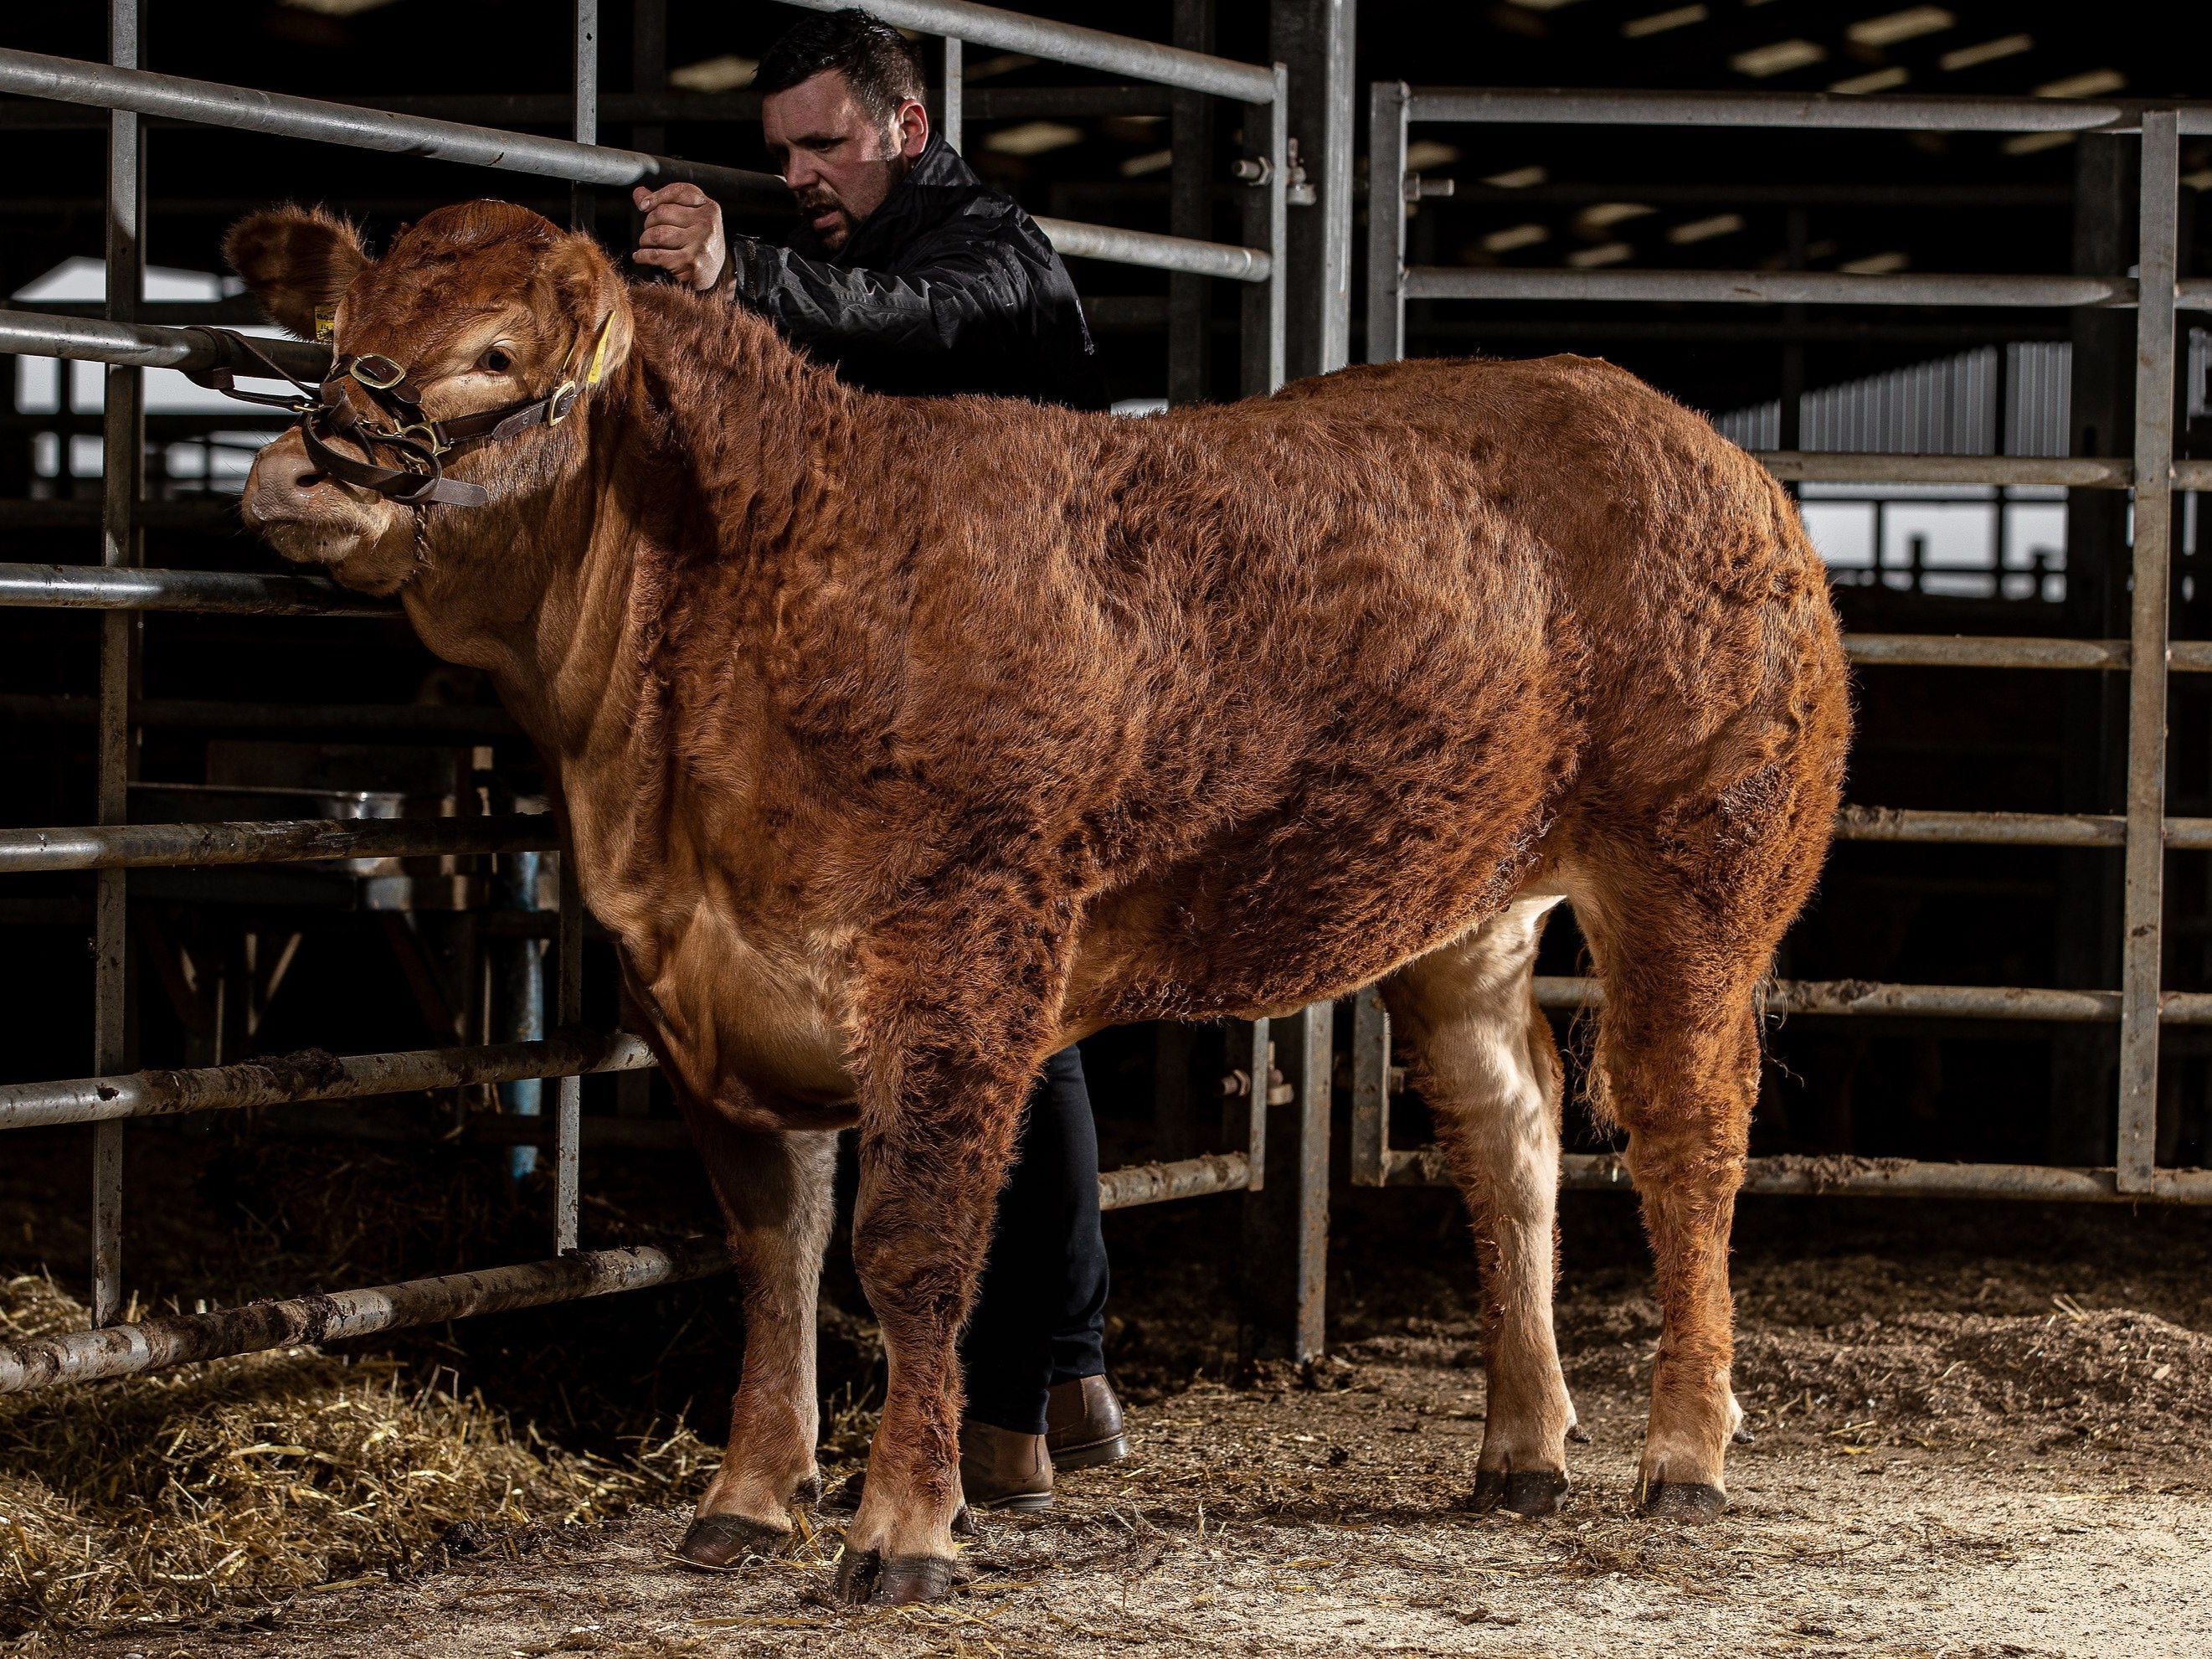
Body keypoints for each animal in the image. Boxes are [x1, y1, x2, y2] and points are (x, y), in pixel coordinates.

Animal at [226, 199, 1850, 1605]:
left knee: (1685, 1137)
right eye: (340, 331)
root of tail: (1686, 439)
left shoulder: (960, 954)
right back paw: (1520, 1443)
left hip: (1700, 867)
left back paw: (1682, 1449)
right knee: (1505, 1133)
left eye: (500, 354)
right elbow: (772, 1254)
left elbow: (911, 1246)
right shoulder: (707, 989)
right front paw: (746, 1500)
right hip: (1469, 907)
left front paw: (902, 1527)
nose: (295, 476)